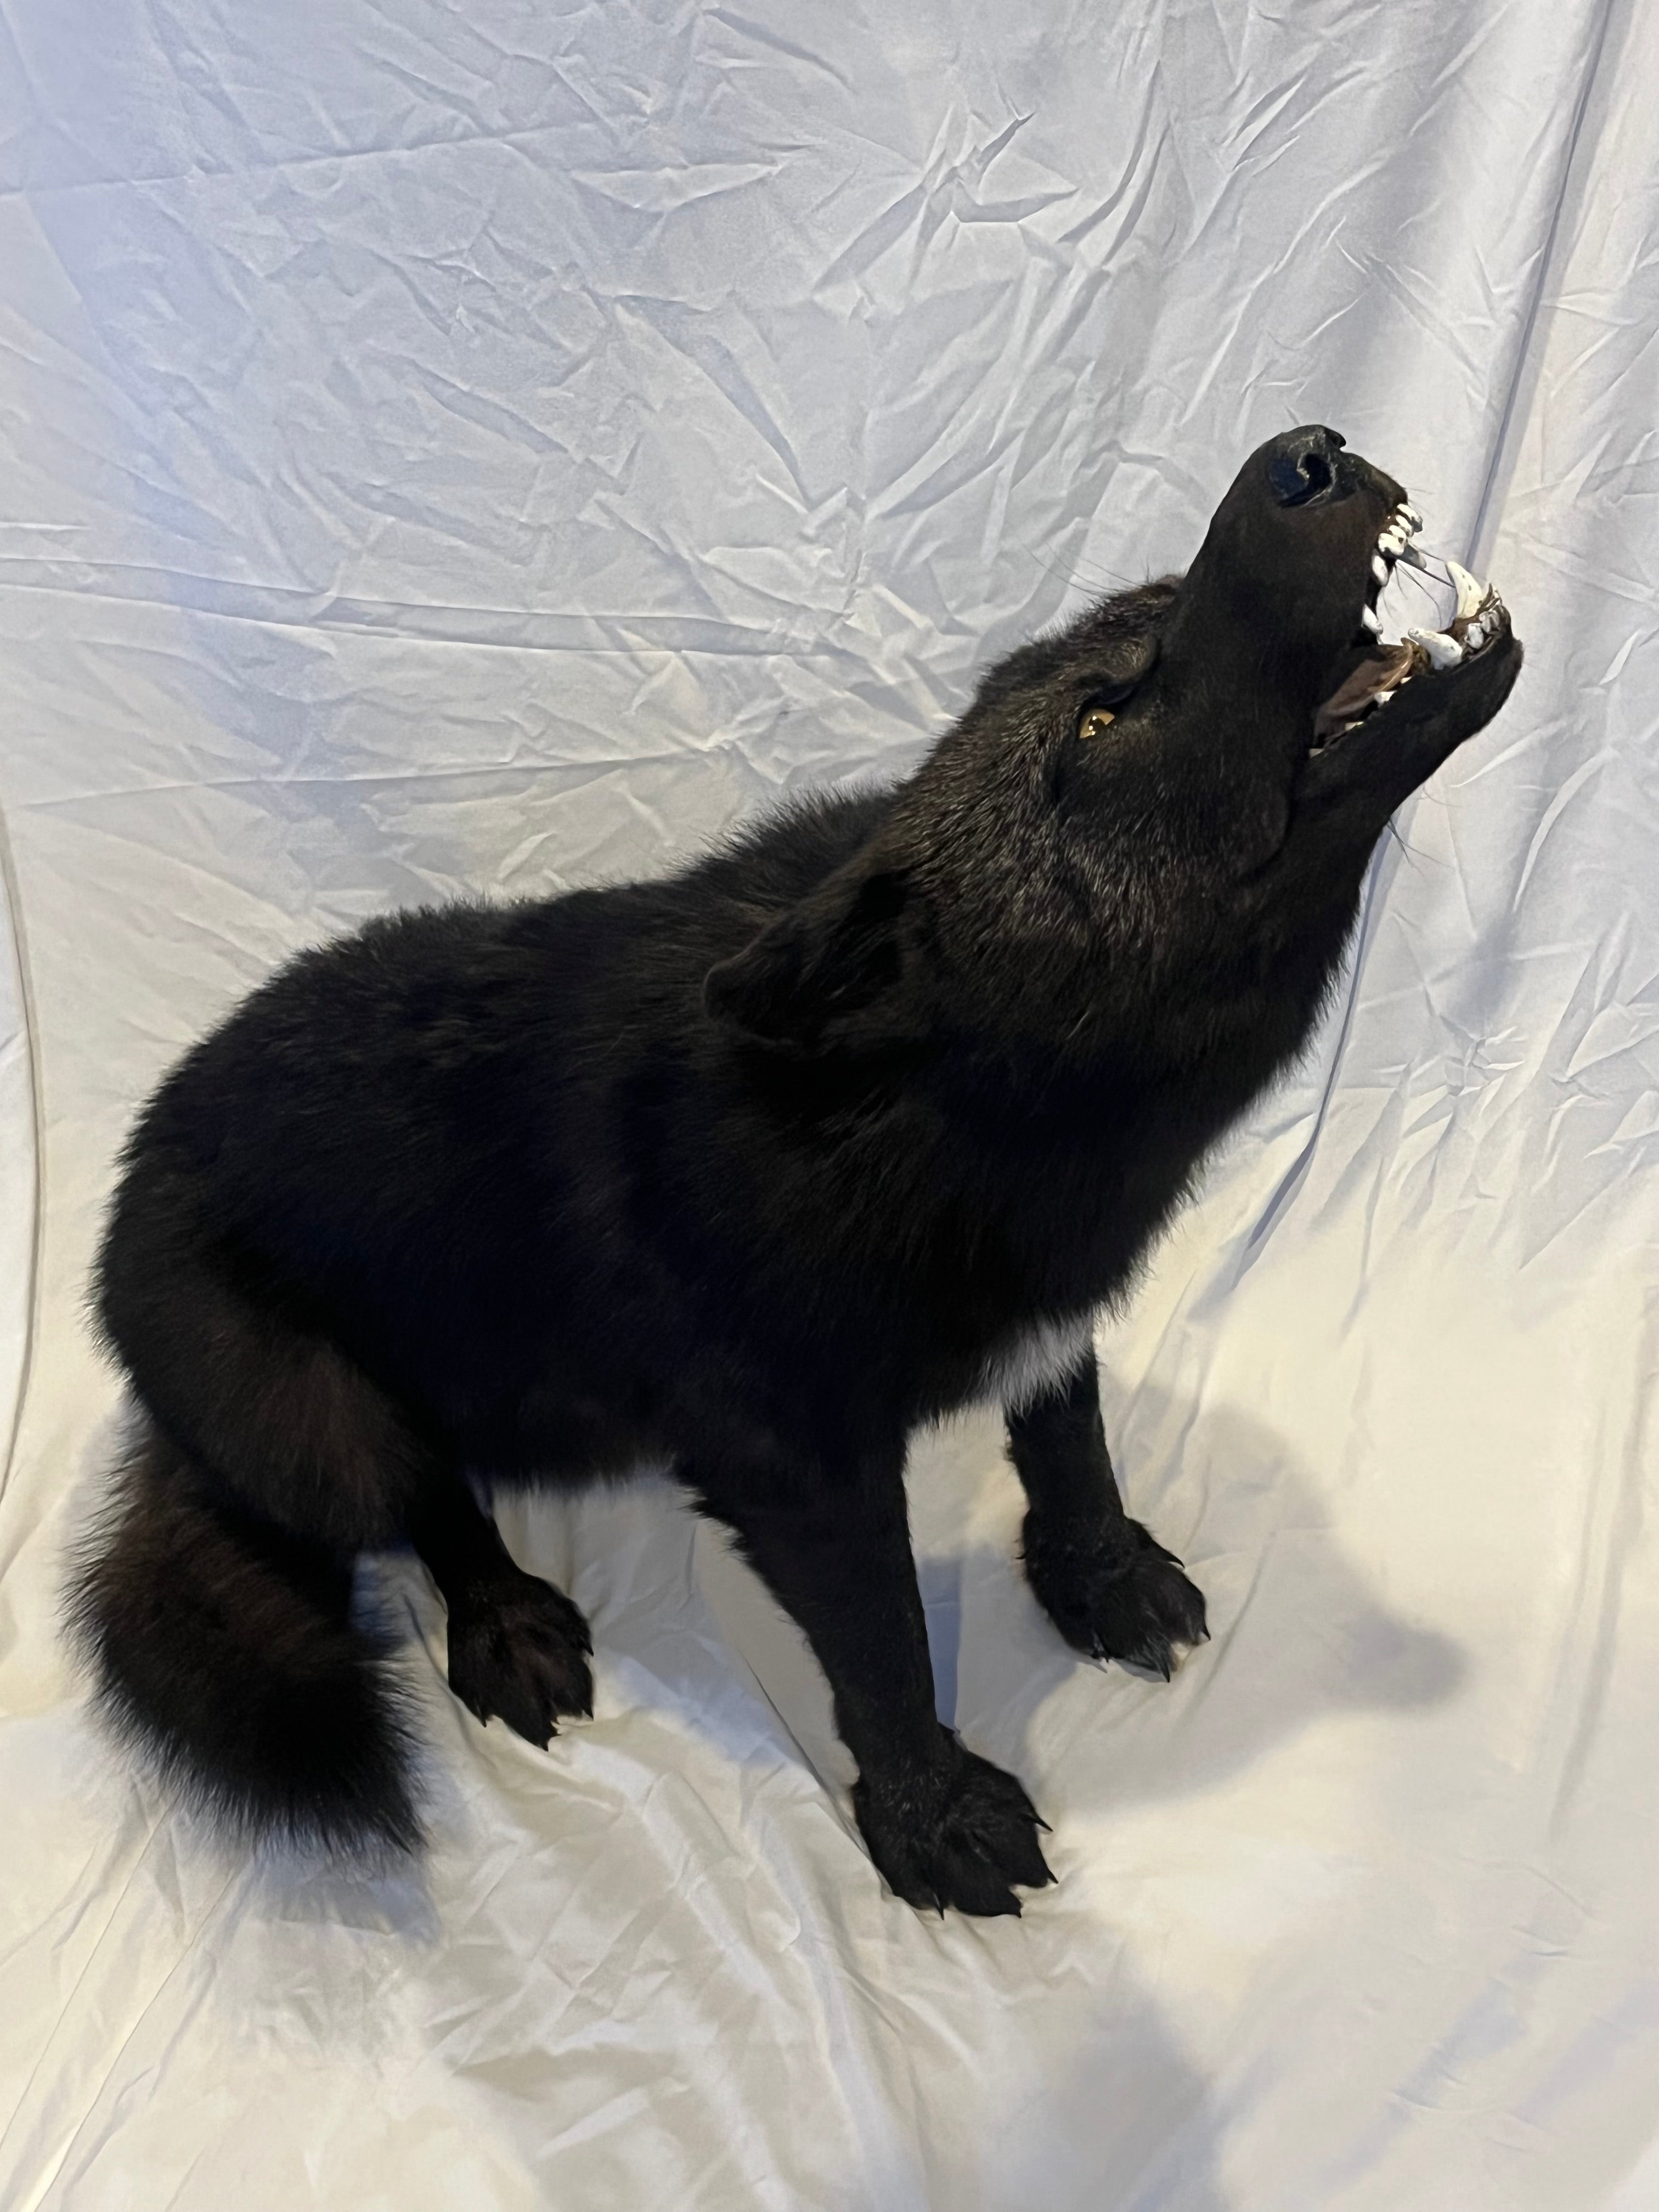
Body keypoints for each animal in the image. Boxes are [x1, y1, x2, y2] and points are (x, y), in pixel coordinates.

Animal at [70, 427, 1522, 1916]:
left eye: (1152, 617)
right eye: (1099, 722)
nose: (1309, 453)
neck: (937, 1111)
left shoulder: (1050, 1330)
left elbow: (1074, 1458)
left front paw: (1101, 1585)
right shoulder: (800, 1475)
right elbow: (885, 1650)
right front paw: (932, 1819)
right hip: (320, 1423)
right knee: (430, 1506)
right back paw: (506, 1620)